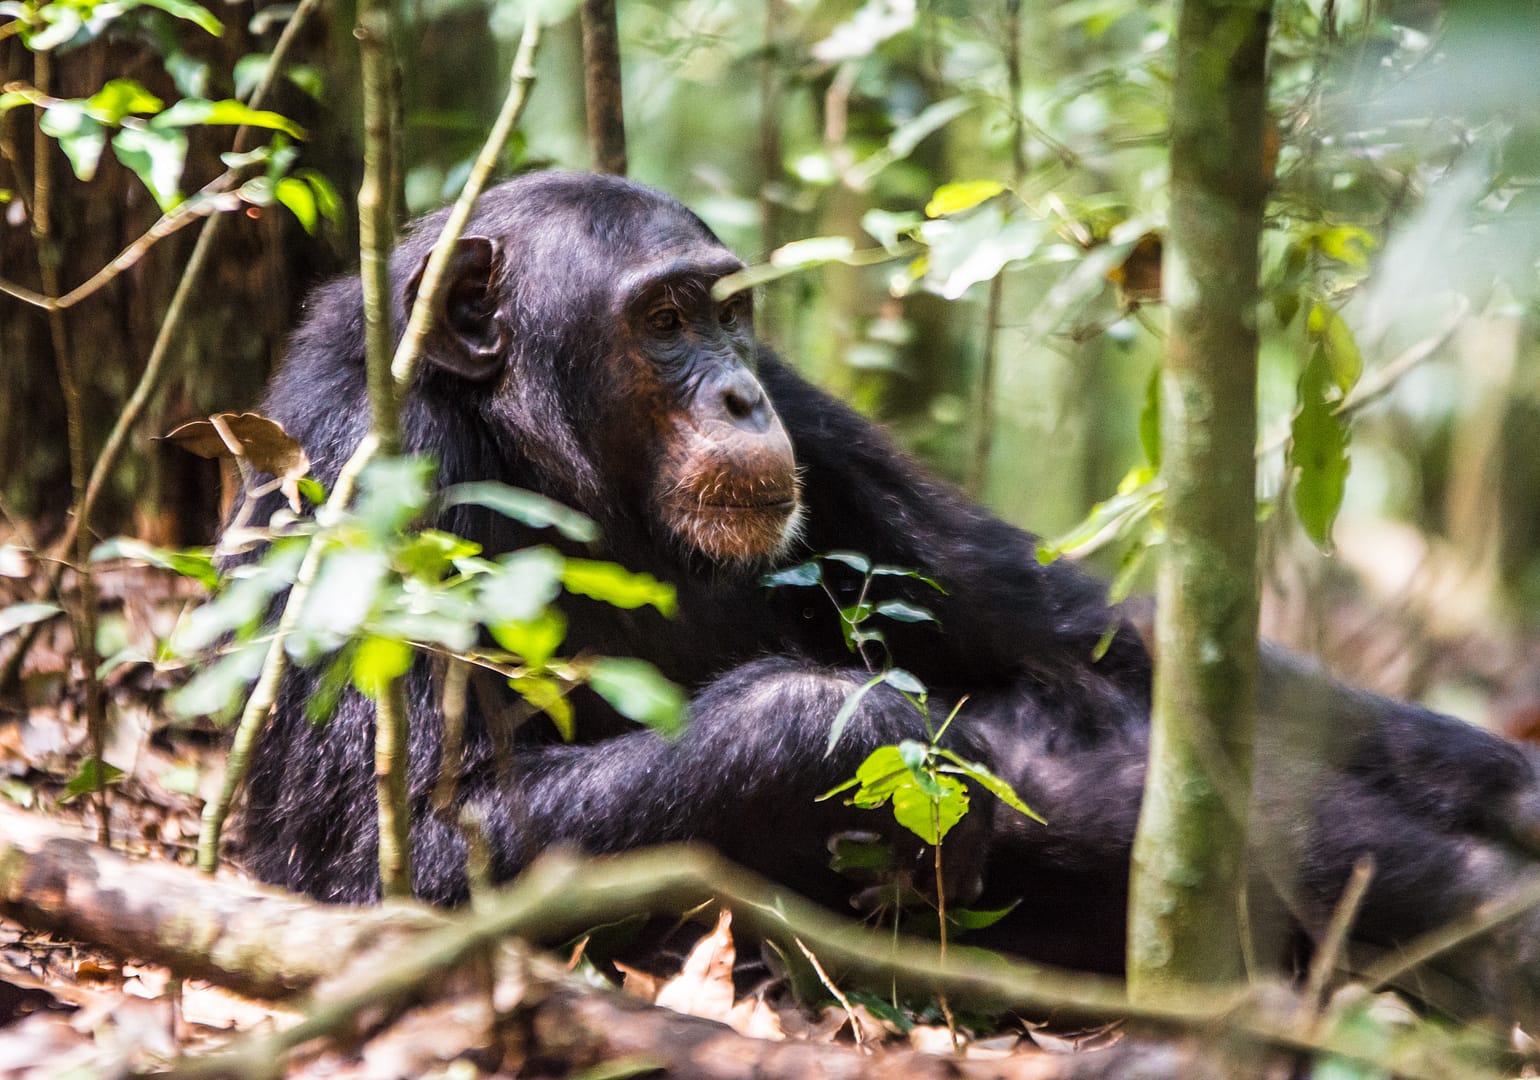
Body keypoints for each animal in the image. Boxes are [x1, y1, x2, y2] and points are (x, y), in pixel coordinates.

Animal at [234, 170, 1540, 1010]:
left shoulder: (815, 417)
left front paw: (1512, 790)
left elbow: (1070, 631)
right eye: (662, 320)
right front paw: (848, 723)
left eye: (726, 315)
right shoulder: (368, 479)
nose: (737, 396)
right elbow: (380, 850)